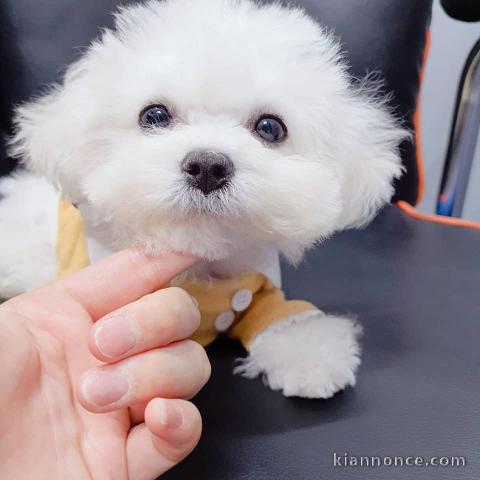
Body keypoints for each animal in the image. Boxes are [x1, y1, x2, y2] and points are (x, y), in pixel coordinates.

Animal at [0, 0, 408, 398]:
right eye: (154, 115)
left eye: (270, 127)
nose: (208, 166)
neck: (203, 266)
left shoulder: (256, 290)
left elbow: (283, 317)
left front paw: (311, 358)